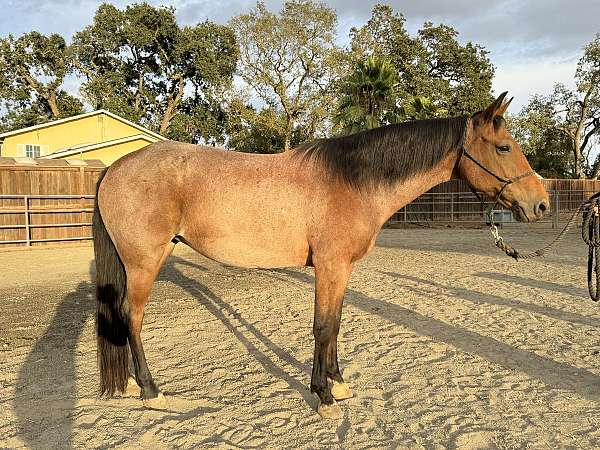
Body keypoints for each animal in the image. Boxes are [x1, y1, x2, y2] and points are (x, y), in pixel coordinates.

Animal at [92, 91, 548, 418]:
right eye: (504, 147)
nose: (541, 204)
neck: (351, 181)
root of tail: (116, 167)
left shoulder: (341, 270)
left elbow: (336, 324)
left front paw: (338, 384)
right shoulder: (330, 267)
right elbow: (323, 327)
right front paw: (324, 396)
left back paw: (130, 385)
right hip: (144, 262)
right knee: (132, 317)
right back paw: (151, 391)